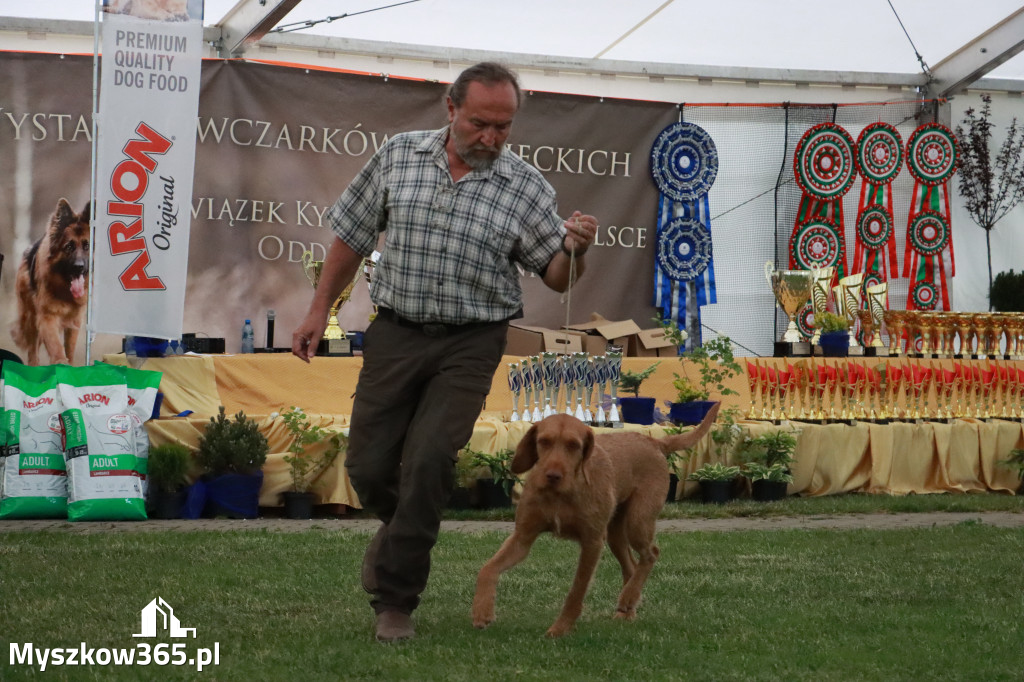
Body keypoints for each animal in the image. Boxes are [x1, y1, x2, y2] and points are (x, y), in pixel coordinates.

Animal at [12, 199, 92, 364]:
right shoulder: (47, 318)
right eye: (69, 246)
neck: (65, 290)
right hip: (31, 320)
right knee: (33, 353)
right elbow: (56, 348)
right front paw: (60, 363)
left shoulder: (75, 322)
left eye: (87, 246)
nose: (79, 267)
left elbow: (69, 352)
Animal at [471, 401, 720, 634]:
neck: (559, 495)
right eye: (544, 441)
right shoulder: (522, 537)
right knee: (631, 567)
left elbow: (577, 589)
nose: (552, 476)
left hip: (637, 522)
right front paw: (482, 611)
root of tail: (655, 442)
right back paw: (627, 606)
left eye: (574, 445)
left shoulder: (592, 543)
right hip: (614, 534)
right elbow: (487, 568)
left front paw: (560, 628)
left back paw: (628, 598)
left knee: (651, 554)